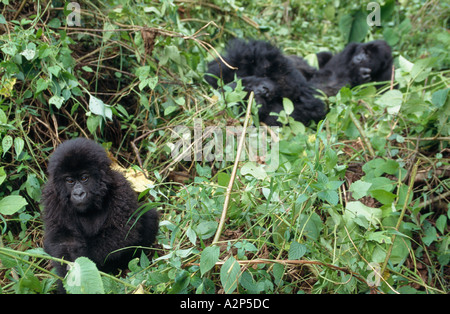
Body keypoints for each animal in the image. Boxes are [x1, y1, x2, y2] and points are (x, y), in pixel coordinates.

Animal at [40, 137, 160, 292]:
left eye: (84, 178)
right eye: (70, 181)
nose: (78, 193)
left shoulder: (121, 189)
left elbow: (121, 234)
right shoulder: (53, 197)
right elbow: (61, 239)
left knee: (149, 215)